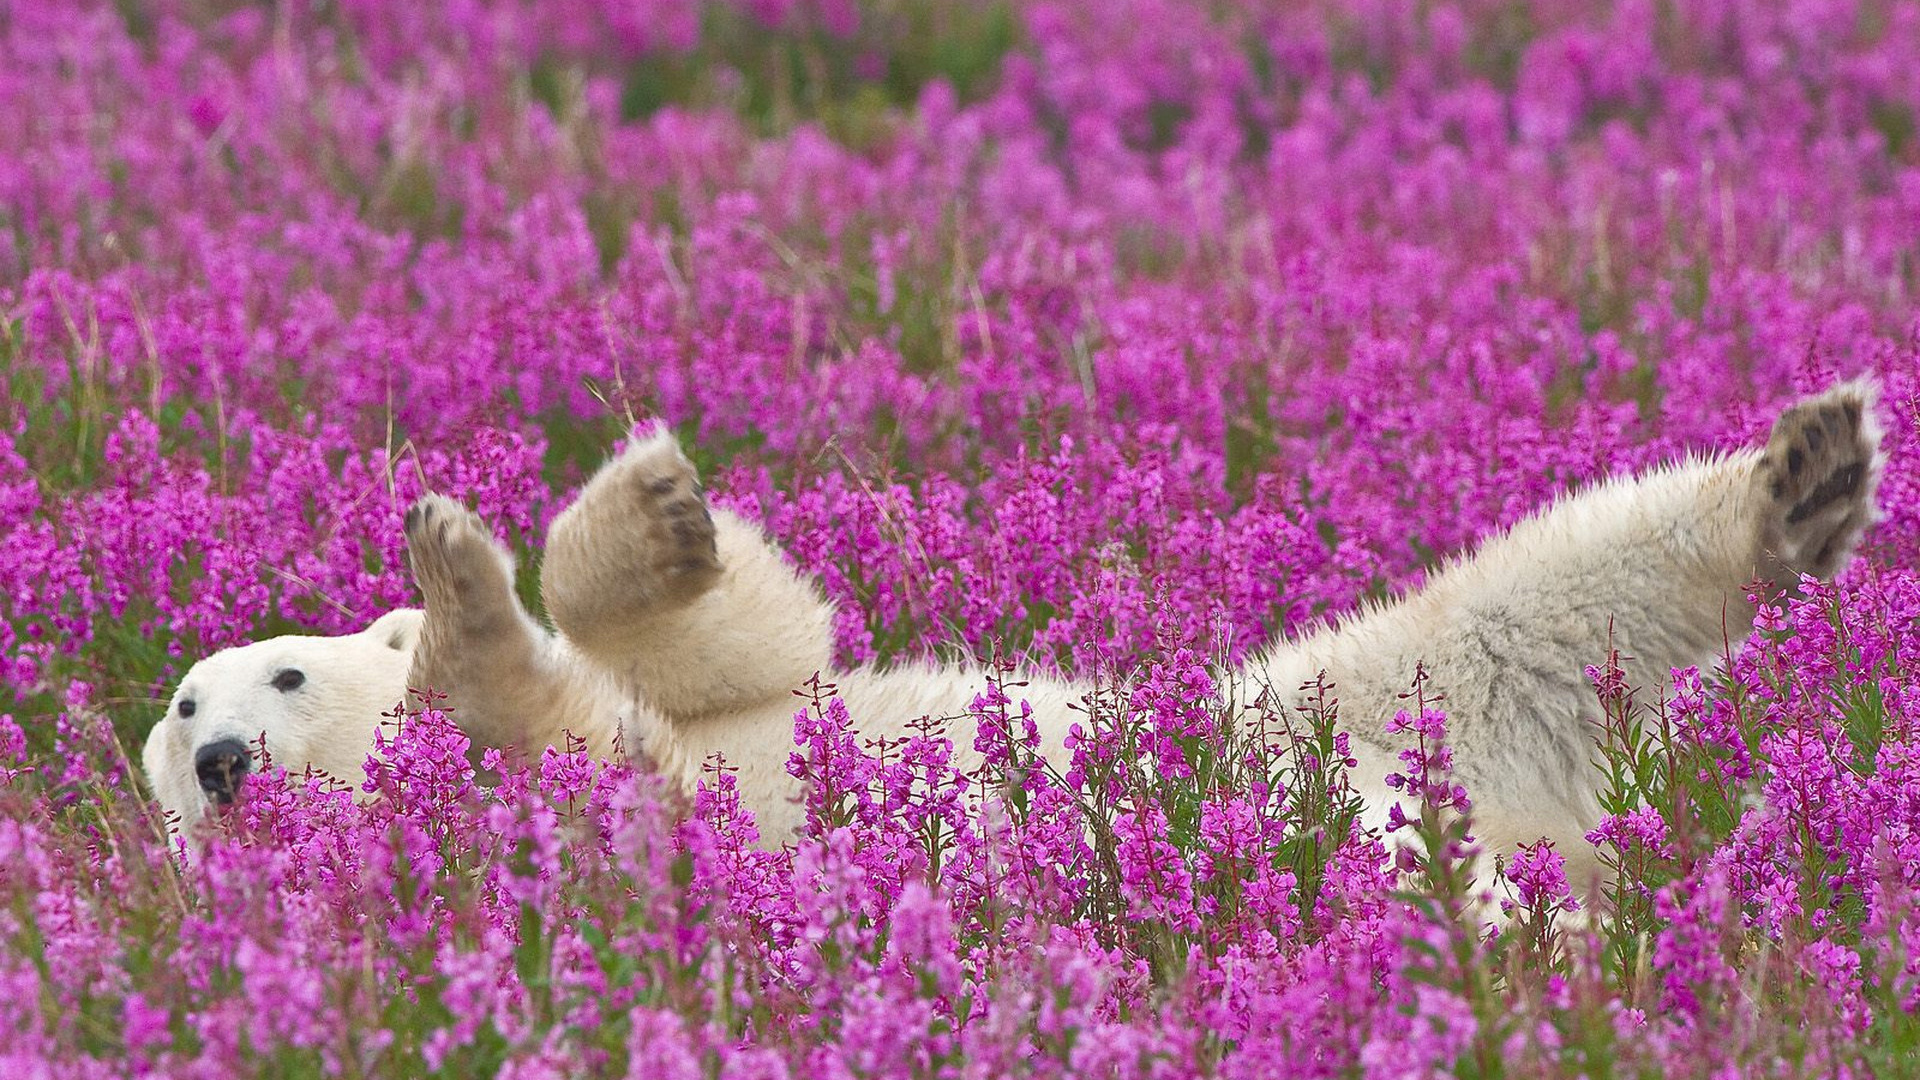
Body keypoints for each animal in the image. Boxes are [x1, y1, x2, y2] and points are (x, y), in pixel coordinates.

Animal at [142, 378, 1881, 883]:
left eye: (271, 671)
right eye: (178, 717)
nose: (224, 760)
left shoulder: (697, 713)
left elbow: (758, 645)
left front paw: (620, 515)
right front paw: (460, 602)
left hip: (1343, 701)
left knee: (1541, 593)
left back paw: (1804, 475)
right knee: (1537, 633)